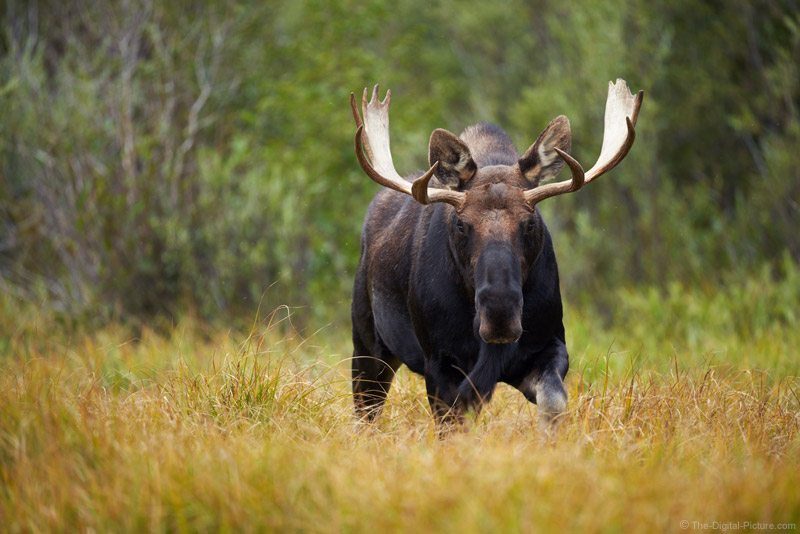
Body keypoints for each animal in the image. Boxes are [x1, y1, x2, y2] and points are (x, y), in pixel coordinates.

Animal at [346, 80, 640, 432]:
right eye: (461, 223)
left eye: (530, 221)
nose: (500, 312)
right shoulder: (439, 361)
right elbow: (451, 426)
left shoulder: (549, 345)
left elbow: (553, 401)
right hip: (367, 344)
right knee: (365, 411)